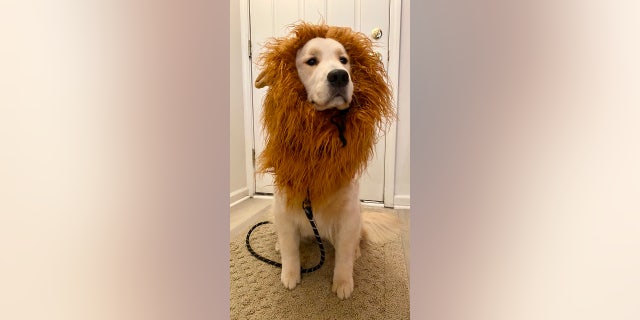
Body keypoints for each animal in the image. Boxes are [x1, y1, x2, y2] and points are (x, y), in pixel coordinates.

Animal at [255, 22, 400, 300]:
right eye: (311, 61)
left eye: (344, 60)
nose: (340, 76)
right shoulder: (286, 206)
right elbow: (290, 248)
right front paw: (290, 275)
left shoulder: (347, 212)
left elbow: (343, 254)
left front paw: (343, 282)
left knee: (356, 238)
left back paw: (356, 251)